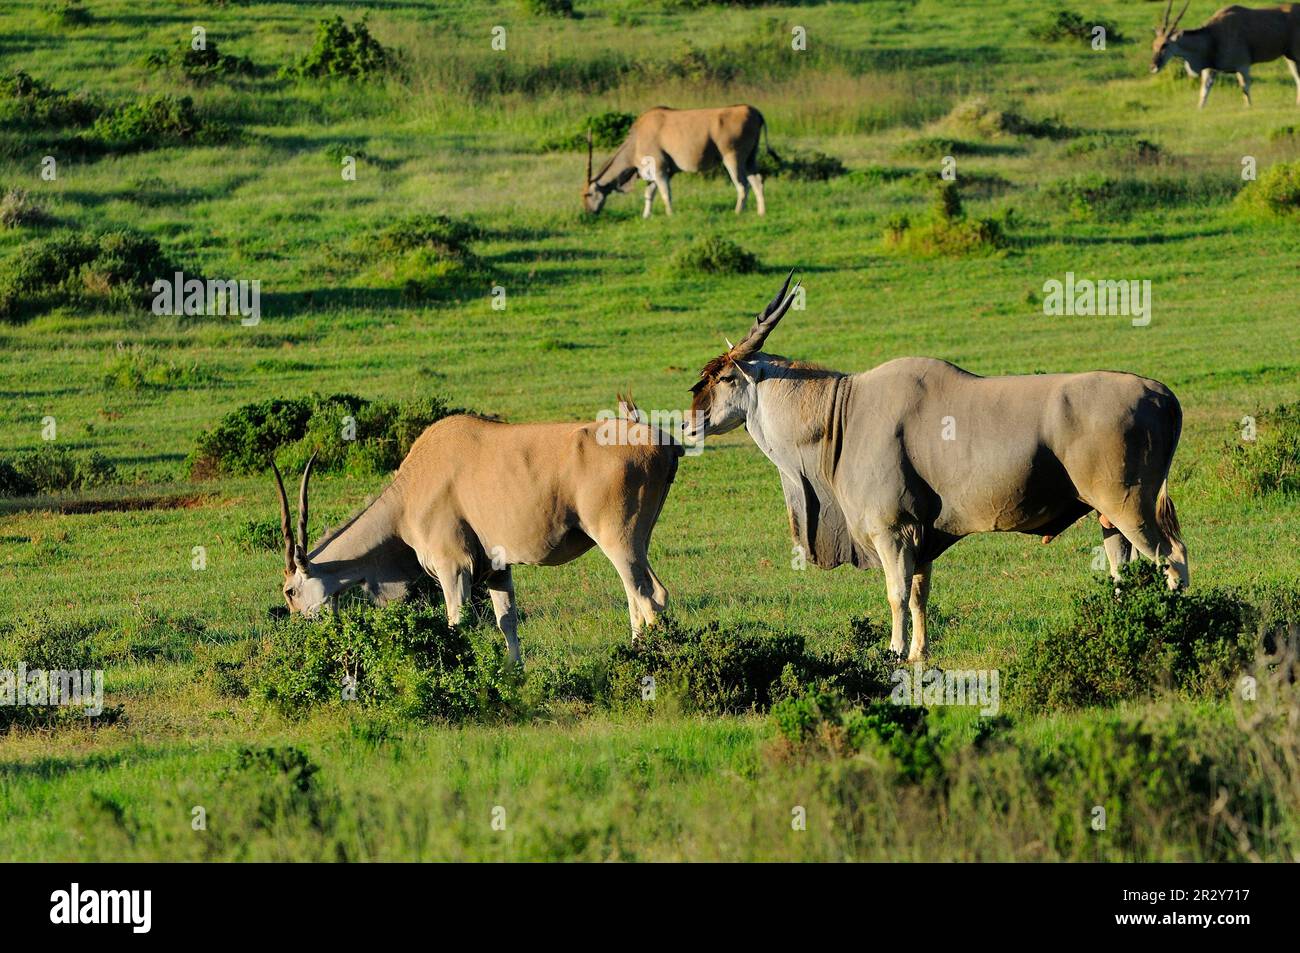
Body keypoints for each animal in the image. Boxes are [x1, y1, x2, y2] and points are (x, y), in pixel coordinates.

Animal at [274, 408, 681, 660]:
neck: (410, 491)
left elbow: (457, 623)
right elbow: (507, 622)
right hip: (637, 543)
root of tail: (661, 444)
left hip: (618, 540)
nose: (298, 633)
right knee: (642, 595)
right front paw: (512, 678)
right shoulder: (498, 570)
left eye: (290, 592)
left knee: (648, 598)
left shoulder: (453, 567)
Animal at [585, 105, 774, 217]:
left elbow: (665, 193)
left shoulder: (660, 169)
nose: (588, 213)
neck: (635, 140)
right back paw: (761, 212)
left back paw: (737, 212)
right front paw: (646, 216)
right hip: (749, 160)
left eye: (588, 194)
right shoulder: (657, 174)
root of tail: (752, 110)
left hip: (732, 159)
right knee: (757, 180)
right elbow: (649, 193)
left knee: (742, 185)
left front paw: (670, 215)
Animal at [691, 275, 1190, 660]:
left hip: (1129, 506)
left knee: (1173, 557)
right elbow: (919, 596)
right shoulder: (920, 536)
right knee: (1125, 572)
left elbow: (896, 594)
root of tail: (1163, 395)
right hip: (1109, 518)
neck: (842, 413)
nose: (687, 422)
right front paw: (918, 654)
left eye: (726, 377)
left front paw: (895, 652)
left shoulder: (890, 531)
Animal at [1154, 1, 1300, 105]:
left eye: (1165, 45)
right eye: (1154, 45)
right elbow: (1204, 92)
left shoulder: (1243, 66)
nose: (1153, 66)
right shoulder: (1210, 69)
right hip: (1290, 58)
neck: (1212, 36)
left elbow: (1245, 88)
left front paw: (1248, 108)